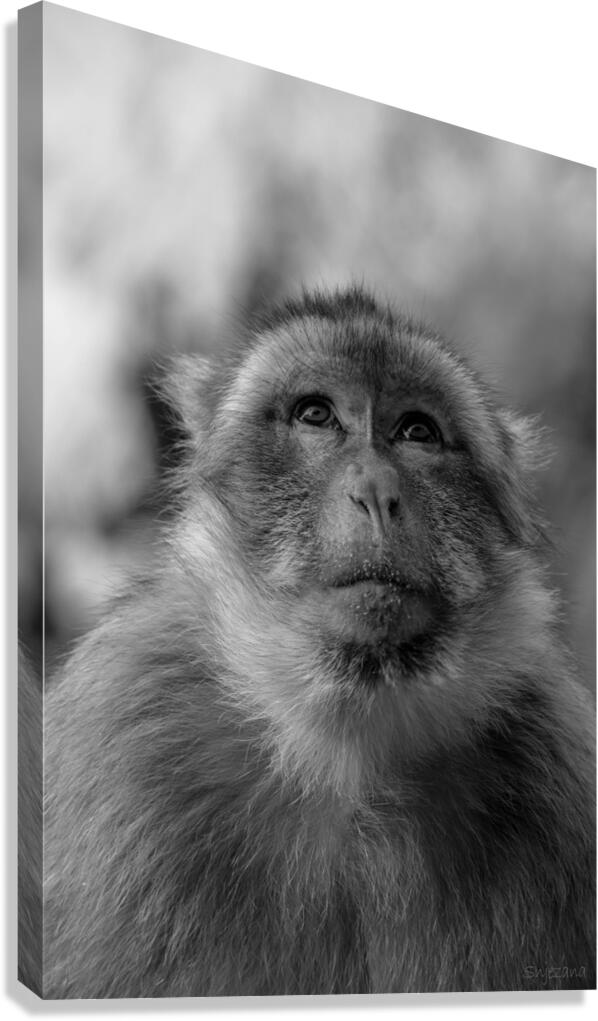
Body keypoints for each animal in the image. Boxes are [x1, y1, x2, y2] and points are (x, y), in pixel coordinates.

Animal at [40, 286, 595, 998]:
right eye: (316, 415)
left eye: (417, 431)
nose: (377, 492)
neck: (345, 757)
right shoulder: (120, 728)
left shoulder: (563, 767)